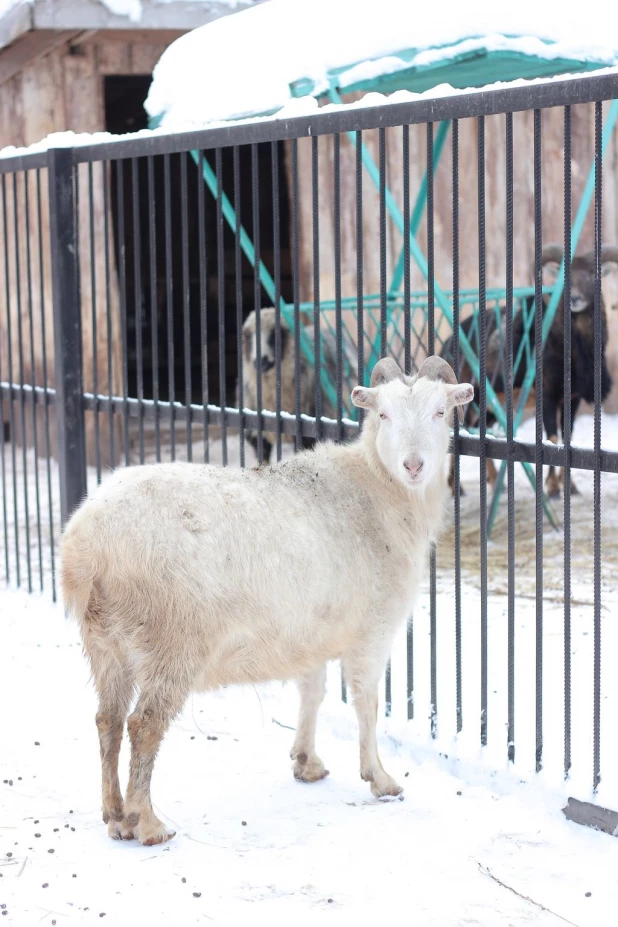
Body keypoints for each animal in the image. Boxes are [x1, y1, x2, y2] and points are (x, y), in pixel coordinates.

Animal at [60, 358, 470, 848]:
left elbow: (314, 691)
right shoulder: (372, 629)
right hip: (171, 641)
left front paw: (306, 761)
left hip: (106, 644)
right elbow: (366, 703)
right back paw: (149, 823)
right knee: (144, 724)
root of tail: (89, 545)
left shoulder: (313, 628)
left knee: (108, 720)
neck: (377, 488)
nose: (413, 465)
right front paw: (381, 778)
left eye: (441, 412)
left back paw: (116, 816)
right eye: (384, 414)